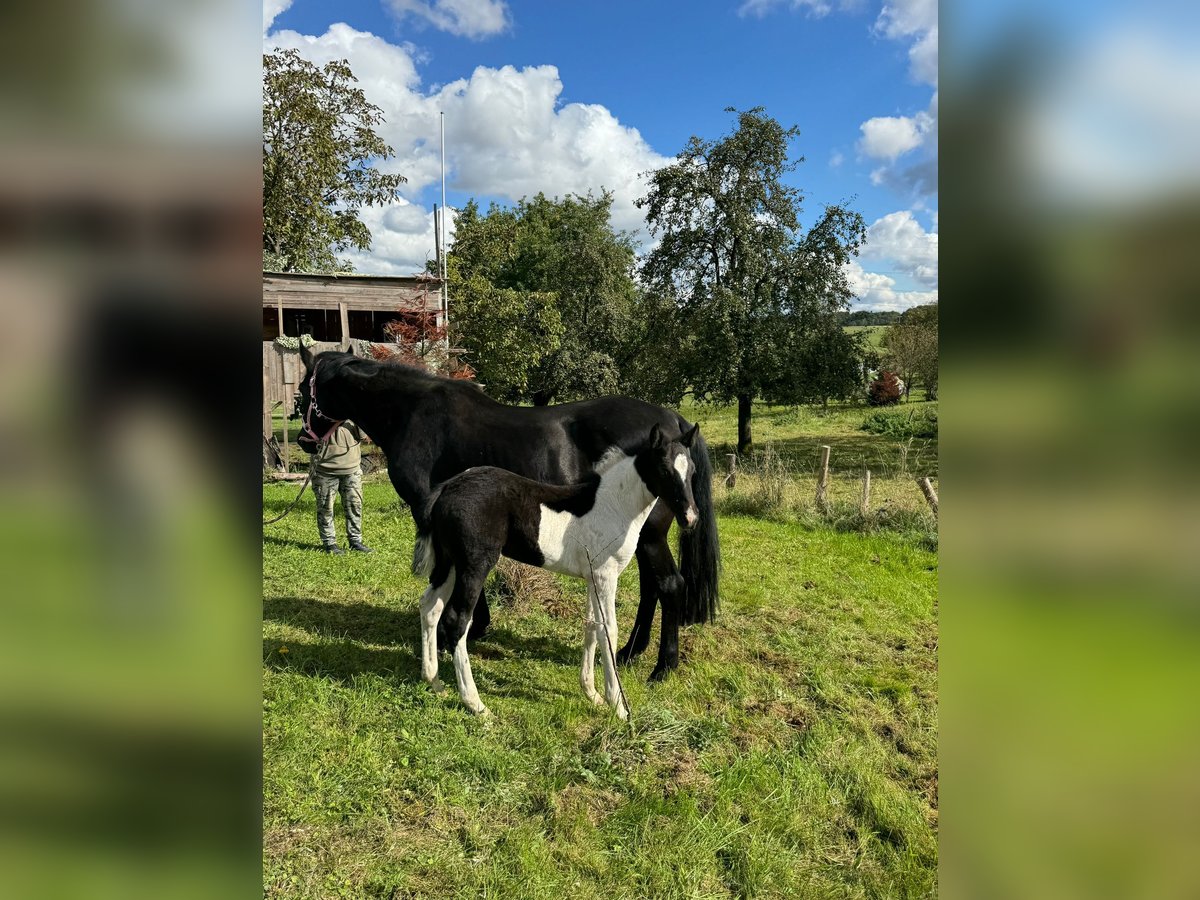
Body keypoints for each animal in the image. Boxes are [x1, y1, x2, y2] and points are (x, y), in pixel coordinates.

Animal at [296, 348, 720, 681]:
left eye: (302, 391)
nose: (303, 440)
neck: (413, 414)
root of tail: (672, 421)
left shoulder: (427, 511)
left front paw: (467, 630)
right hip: (644, 536)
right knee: (653, 588)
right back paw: (630, 652)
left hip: (650, 534)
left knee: (669, 585)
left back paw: (662, 667)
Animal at [410, 427, 700, 724]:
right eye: (664, 470)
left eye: (692, 471)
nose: (690, 518)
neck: (614, 505)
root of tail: (447, 488)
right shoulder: (606, 576)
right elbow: (609, 630)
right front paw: (618, 705)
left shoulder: (592, 578)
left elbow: (591, 626)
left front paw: (592, 694)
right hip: (474, 565)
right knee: (457, 620)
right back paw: (476, 704)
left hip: (449, 563)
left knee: (430, 606)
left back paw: (435, 682)